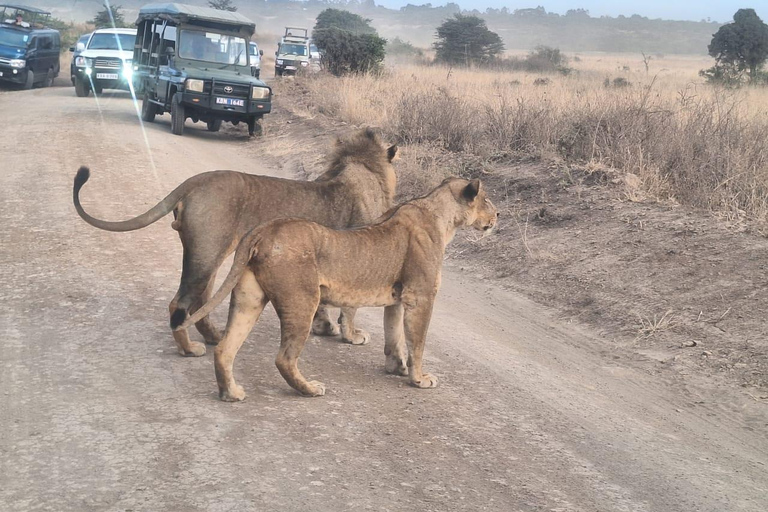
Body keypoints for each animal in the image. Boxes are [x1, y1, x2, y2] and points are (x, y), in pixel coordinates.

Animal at [73, 128, 400, 356]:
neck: (361, 168)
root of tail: (196, 181)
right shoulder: (358, 256)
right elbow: (351, 307)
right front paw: (352, 335)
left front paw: (324, 328)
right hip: (207, 253)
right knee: (179, 304)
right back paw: (190, 349)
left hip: (207, 252)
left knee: (200, 301)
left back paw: (213, 336)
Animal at [171, 178, 498, 402]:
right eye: (487, 200)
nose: (498, 216)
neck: (440, 215)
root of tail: (264, 230)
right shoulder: (421, 297)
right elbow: (416, 342)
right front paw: (419, 378)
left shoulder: (398, 298)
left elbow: (394, 336)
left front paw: (397, 368)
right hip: (302, 299)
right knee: (283, 358)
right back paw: (309, 389)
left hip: (248, 299)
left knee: (225, 348)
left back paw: (231, 393)